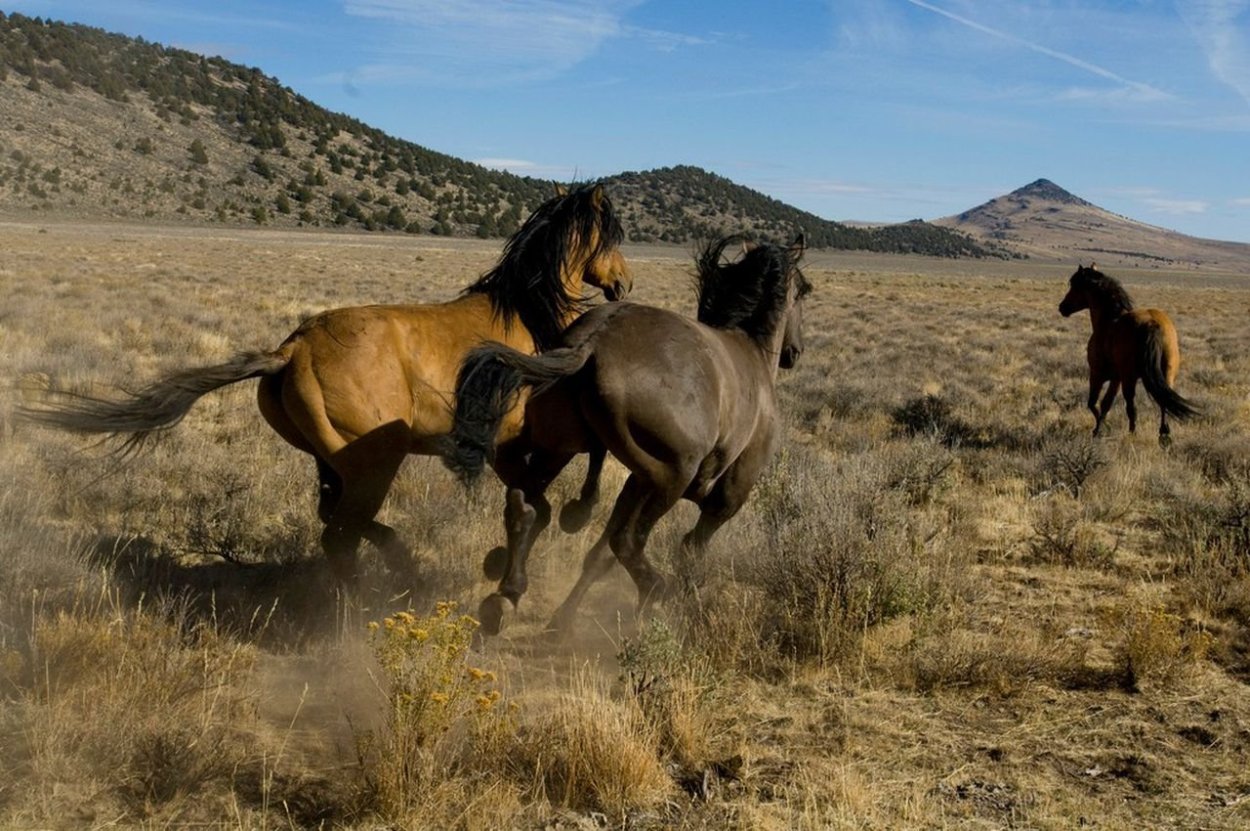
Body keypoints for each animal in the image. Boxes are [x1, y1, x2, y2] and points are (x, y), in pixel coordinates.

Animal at [26, 184, 635, 579]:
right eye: (610, 237)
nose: (625, 284)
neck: (526, 314)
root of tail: (290, 349)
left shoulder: (505, 449)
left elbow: (536, 502)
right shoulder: (522, 443)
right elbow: (546, 499)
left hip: (332, 462)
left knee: (337, 526)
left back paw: (395, 562)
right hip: (374, 463)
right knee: (340, 536)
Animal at [450, 233, 810, 634]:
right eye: (803, 291)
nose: (794, 352)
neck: (752, 353)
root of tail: (593, 341)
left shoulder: (634, 481)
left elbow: (598, 555)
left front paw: (562, 621)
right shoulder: (728, 495)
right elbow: (690, 547)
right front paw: (683, 605)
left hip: (561, 447)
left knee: (524, 506)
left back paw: (504, 597)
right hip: (672, 475)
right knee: (627, 540)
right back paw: (654, 592)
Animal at [1060, 263, 1195, 447]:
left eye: (1074, 286)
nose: (1062, 308)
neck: (1108, 321)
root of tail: (1152, 323)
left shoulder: (1097, 375)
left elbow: (1093, 403)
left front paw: (1100, 430)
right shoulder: (1116, 378)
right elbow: (1106, 403)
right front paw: (1100, 428)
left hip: (1129, 379)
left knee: (1132, 407)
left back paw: (1132, 434)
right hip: (1166, 373)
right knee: (1163, 402)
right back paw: (1164, 435)